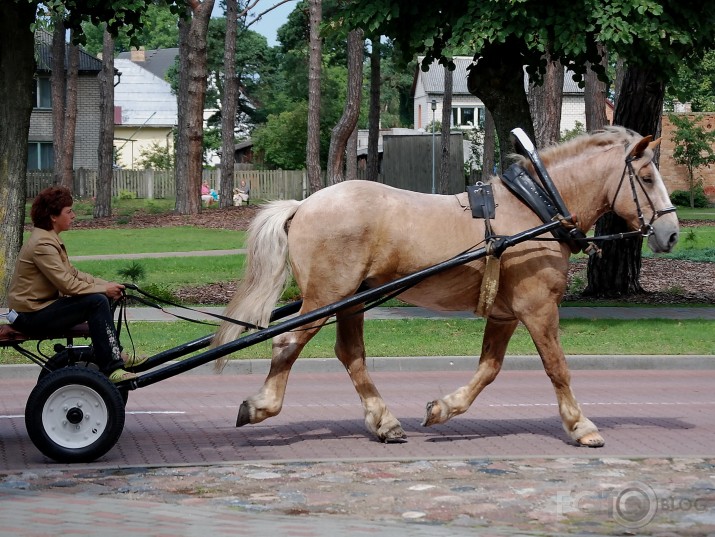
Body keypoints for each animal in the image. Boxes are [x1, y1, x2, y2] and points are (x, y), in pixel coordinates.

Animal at [214, 127, 684, 446]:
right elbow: (557, 367)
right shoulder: (538, 307)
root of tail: (304, 204)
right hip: (327, 296)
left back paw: (384, 420)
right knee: (288, 342)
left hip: (350, 299)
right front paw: (581, 425)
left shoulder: (505, 314)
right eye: (646, 177)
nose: (672, 232)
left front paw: (443, 408)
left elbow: (489, 369)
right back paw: (262, 405)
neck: (536, 208)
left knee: (350, 355)